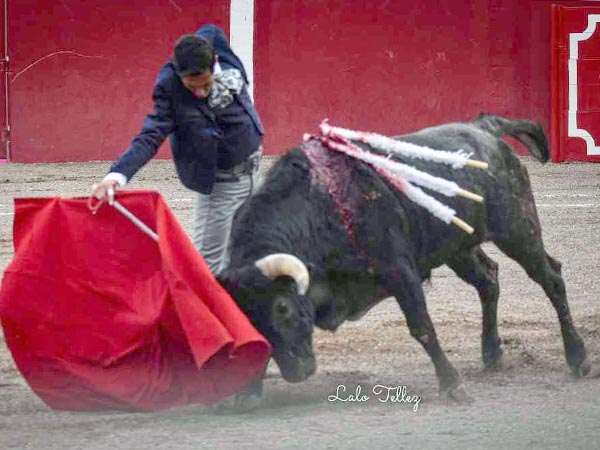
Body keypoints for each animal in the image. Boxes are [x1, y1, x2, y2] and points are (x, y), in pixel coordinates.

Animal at [218, 115, 592, 400]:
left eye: (282, 307)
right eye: (245, 315)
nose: (297, 372)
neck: (318, 209)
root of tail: (485, 125)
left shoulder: (399, 271)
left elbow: (421, 327)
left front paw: (452, 385)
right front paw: (247, 393)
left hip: (517, 229)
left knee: (551, 278)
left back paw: (578, 358)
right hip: (458, 246)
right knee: (489, 279)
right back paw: (492, 353)